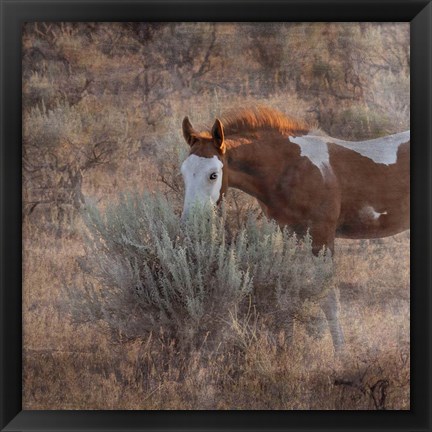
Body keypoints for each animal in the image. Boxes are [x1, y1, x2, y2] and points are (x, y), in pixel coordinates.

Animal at [181, 105, 410, 352]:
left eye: (213, 174)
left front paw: (340, 352)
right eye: (183, 173)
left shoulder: (322, 237)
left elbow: (328, 298)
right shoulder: (289, 234)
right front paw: (287, 344)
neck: (290, 168)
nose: (191, 223)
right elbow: (287, 289)